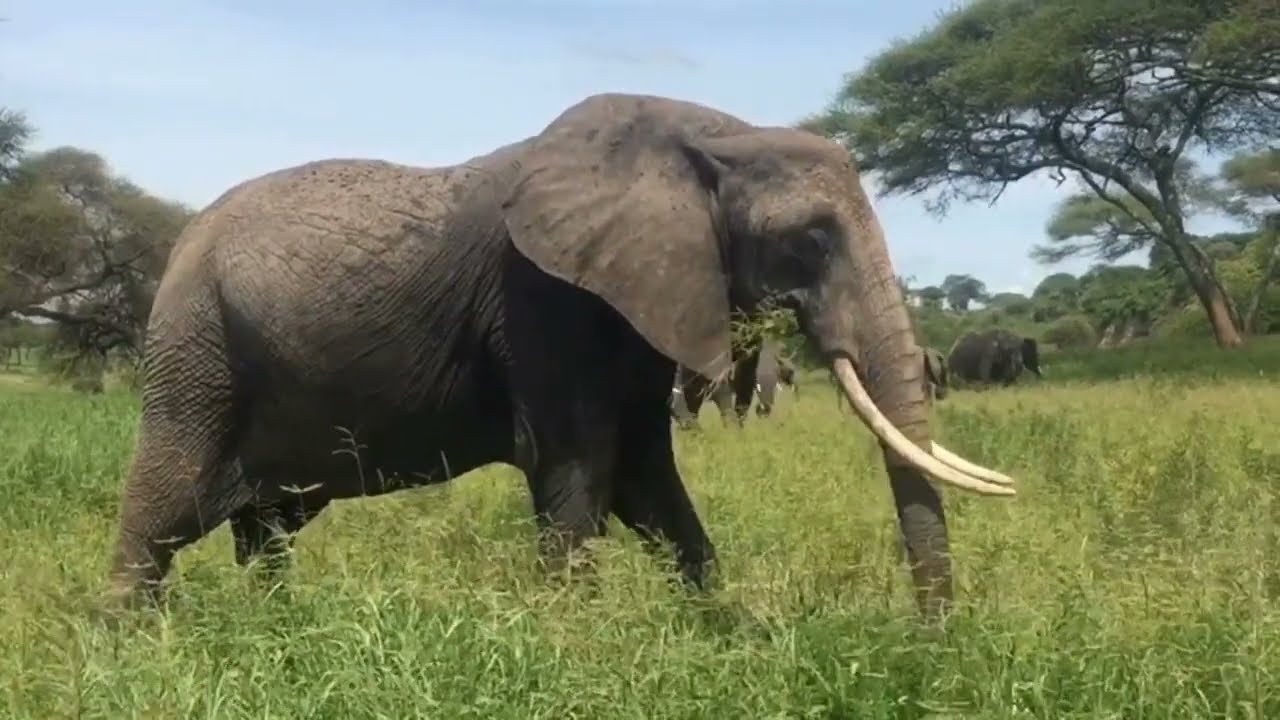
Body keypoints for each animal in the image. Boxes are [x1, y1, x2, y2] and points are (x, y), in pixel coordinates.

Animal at [105, 92, 1017, 622]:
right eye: (810, 239)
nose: (929, 642)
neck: (711, 136)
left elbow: (648, 480)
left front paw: (723, 634)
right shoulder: (543, 300)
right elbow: (578, 475)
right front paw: (571, 649)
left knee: (264, 530)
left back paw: (281, 630)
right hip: (197, 352)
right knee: (163, 510)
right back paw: (131, 648)